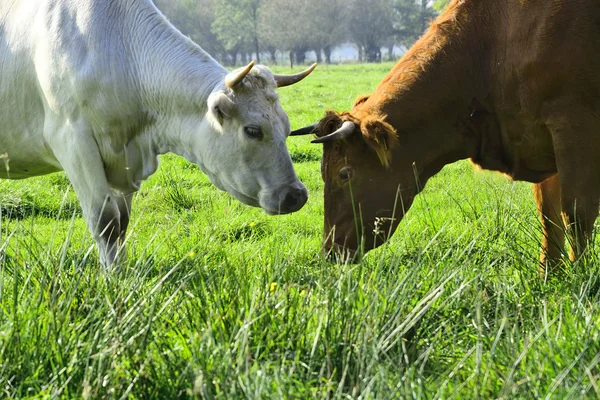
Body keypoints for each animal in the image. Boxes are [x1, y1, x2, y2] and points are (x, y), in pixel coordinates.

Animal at [0, 0, 316, 266]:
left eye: (287, 127)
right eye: (252, 130)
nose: (296, 195)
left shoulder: (125, 158)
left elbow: (122, 223)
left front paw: (123, 274)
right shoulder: (73, 142)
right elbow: (106, 221)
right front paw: (112, 281)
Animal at [294, 0, 600, 272]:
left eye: (344, 174)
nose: (330, 249)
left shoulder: (573, 125)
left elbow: (576, 213)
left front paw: (580, 278)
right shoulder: (539, 143)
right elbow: (549, 217)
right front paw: (549, 275)